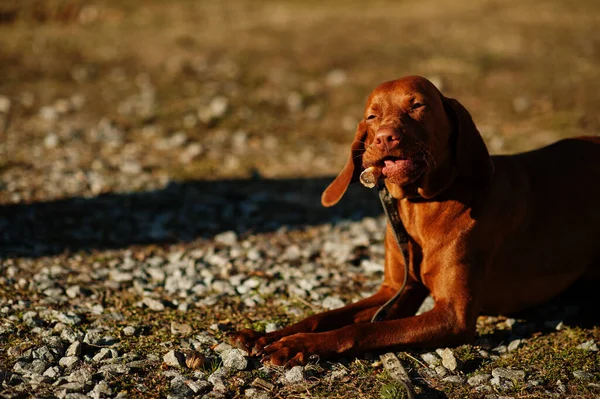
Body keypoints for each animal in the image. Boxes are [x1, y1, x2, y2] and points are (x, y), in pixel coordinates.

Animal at [231, 76, 600, 368]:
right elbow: (324, 316)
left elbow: (362, 328)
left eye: (418, 106)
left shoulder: (453, 315)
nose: (384, 137)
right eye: (372, 116)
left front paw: (298, 346)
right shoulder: (397, 290)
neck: (421, 206)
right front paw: (268, 335)